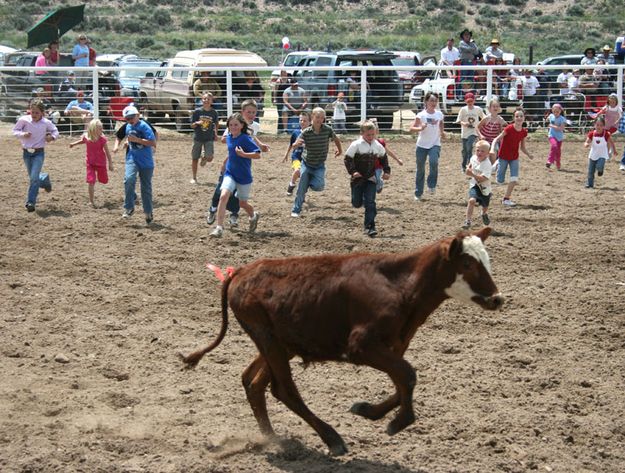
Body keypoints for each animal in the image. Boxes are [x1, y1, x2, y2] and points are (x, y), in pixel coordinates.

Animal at [180, 227, 502, 456]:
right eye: (467, 263)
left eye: (486, 260)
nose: (497, 299)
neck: (399, 284)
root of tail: (240, 272)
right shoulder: (361, 346)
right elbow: (408, 375)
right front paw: (398, 422)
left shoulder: (395, 346)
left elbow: (401, 383)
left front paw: (368, 410)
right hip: (267, 338)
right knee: (283, 390)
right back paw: (331, 438)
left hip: (279, 342)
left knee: (252, 382)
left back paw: (273, 439)